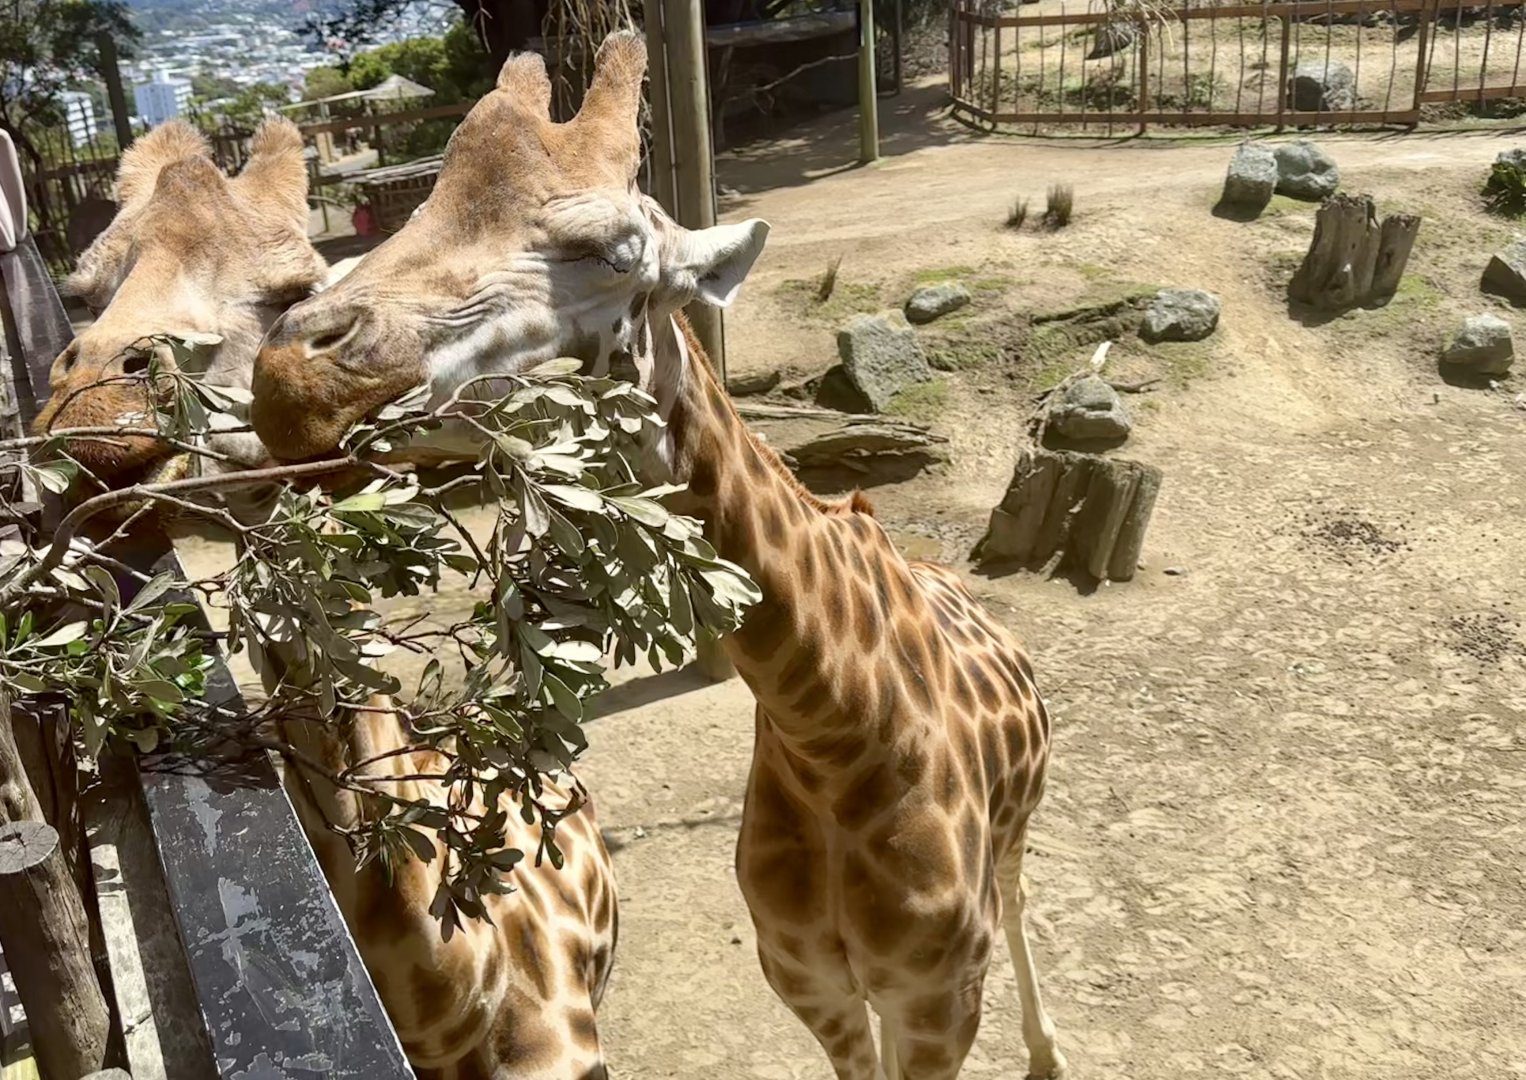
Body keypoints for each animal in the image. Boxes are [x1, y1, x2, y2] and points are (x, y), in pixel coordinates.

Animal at [247, 31, 1069, 1080]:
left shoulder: (935, 1001)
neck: (837, 736)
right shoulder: (813, 987)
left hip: (1012, 846)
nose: (291, 381)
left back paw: (1047, 1051)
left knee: (1021, 895)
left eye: (607, 253)